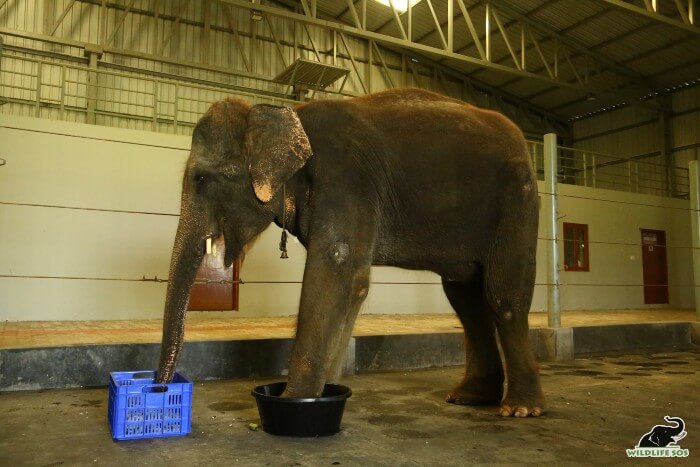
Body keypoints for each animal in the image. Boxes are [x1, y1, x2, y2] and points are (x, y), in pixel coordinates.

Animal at [156, 89, 544, 418]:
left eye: (202, 179)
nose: (159, 389)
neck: (286, 115)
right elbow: (352, 284)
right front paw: (326, 390)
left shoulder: (345, 180)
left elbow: (337, 269)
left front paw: (293, 401)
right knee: (466, 298)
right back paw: (470, 398)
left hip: (517, 202)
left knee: (502, 296)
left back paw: (519, 409)